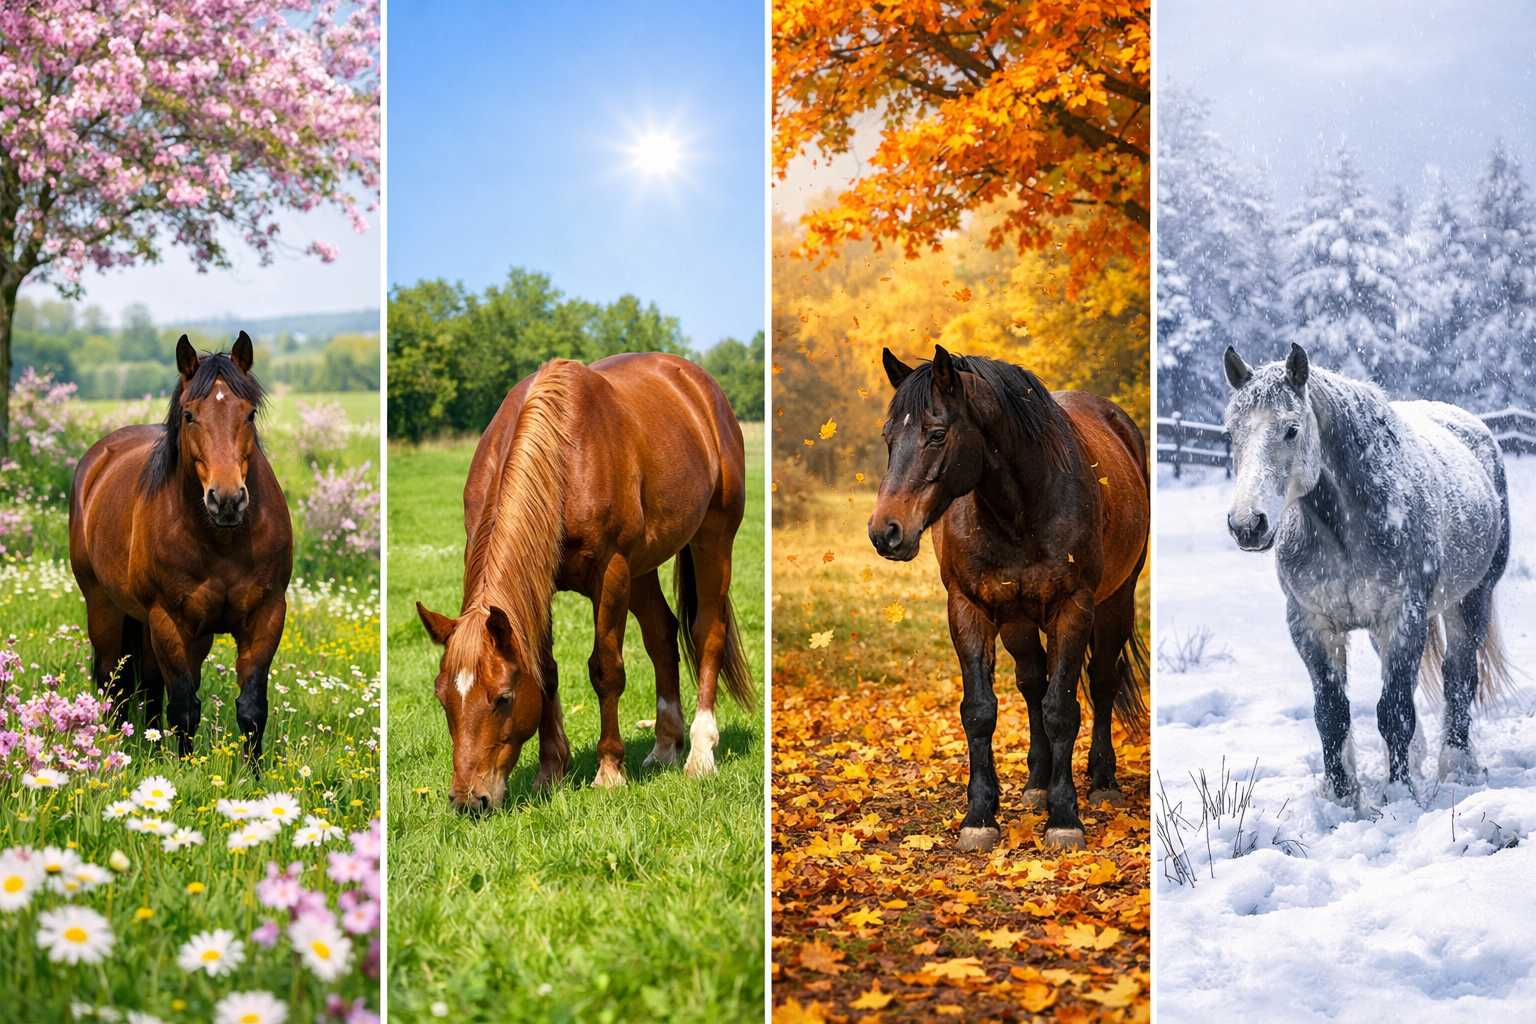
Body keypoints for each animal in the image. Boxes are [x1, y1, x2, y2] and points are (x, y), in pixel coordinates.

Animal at [69, 333, 292, 767]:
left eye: (249, 414)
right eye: (189, 415)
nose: (227, 500)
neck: (223, 540)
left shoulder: (267, 613)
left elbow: (252, 707)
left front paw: (254, 776)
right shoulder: (169, 619)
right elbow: (185, 706)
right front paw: (187, 769)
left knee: (149, 685)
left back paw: (151, 747)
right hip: (104, 605)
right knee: (113, 679)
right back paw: (117, 746)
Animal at [414, 352, 755, 813]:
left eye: (503, 698)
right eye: (442, 697)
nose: (470, 800)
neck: (564, 457)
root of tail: (700, 386)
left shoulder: (611, 573)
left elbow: (606, 669)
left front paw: (609, 771)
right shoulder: (539, 585)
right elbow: (546, 672)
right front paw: (550, 771)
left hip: (712, 540)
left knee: (707, 634)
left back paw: (701, 753)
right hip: (643, 566)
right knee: (661, 636)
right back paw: (665, 746)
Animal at [869, 345, 1150, 851]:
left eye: (936, 433)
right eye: (888, 436)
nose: (886, 532)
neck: (1019, 509)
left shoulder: (1073, 607)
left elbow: (1062, 711)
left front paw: (1065, 819)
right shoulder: (967, 608)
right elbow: (981, 711)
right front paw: (980, 816)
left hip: (1115, 602)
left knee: (1101, 682)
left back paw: (1102, 781)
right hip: (1018, 621)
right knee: (1033, 683)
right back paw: (1037, 783)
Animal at [1222, 343, 1511, 806]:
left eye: (1291, 429)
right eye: (1232, 433)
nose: (1248, 525)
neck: (1344, 528)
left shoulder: (1403, 617)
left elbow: (1394, 711)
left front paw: (1399, 794)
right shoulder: (1311, 624)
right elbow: (1332, 713)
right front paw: (1343, 797)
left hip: (1472, 599)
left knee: (1460, 676)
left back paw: (1457, 765)